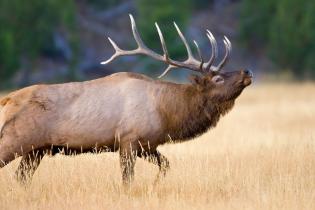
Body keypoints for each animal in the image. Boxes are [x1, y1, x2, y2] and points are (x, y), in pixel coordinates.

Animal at [0, 14, 253, 184]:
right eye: (217, 78)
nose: (247, 71)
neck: (167, 114)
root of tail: (7, 100)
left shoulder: (148, 145)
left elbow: (166, 166)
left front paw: (155, 186)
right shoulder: (128, 141)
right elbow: (127, 180)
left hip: (36, 149)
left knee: (21, 178)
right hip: (15, 139)